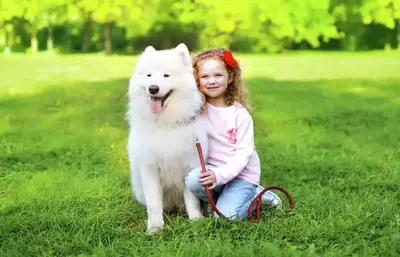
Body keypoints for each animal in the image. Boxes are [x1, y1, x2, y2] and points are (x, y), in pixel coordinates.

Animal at [127, 42, 209, 234]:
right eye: (149, 75)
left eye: (166, 75)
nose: (153, 88)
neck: (166, 123)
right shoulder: (150, 169)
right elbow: (154, 204)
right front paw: (155, 227)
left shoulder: (189, 166)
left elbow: (192, 201)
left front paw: (196, 220)